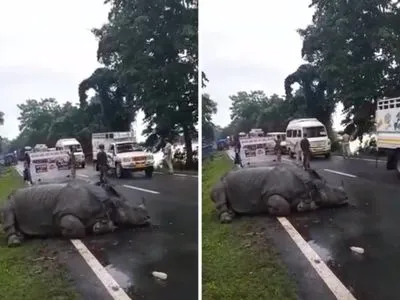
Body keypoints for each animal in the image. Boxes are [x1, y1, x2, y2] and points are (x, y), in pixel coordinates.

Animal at [0, 180, 151, 246]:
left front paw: (100, 227)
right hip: (10, 201)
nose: (148, 217)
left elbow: (106, 225)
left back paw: (21, 235)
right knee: (8, 212)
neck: (108, 203)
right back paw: (15, 241)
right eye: (135, 210)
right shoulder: (63, 214)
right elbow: (77, 228)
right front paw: (64, 232)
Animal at [211, 162, 348, 223]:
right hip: (220, 182)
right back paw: (227, 218)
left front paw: (303, 206)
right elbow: (284, 207)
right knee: (219, 191)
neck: (309, 185)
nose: (346, 197)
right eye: (333, 191)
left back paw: (232, 213)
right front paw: (271, 211)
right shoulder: (269, 195)